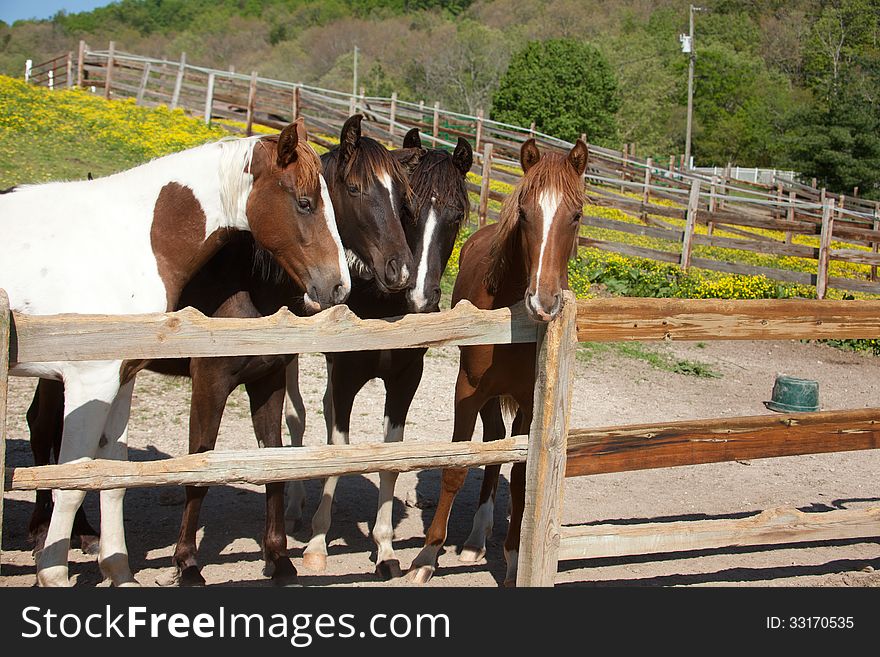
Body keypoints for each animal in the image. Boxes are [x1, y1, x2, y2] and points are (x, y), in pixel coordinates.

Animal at [286, 129, 470, 580]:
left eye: (458, 215)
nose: (420, 293)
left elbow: (391, 455)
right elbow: (338, 451)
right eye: (409, 211)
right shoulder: (347, 376)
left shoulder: (405, 381)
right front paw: (317, 546)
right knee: (297, 415)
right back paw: (295, 505)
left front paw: (385, 549)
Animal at [408, 137, 588, 584]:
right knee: (491, 441)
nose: (544, 301)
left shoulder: (530, 400)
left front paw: (512, 558)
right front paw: (426, 557)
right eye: (524, 213)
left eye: (576, 216)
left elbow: (523, 478)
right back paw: (473, 540)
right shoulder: (467, 391)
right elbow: (456, 468)